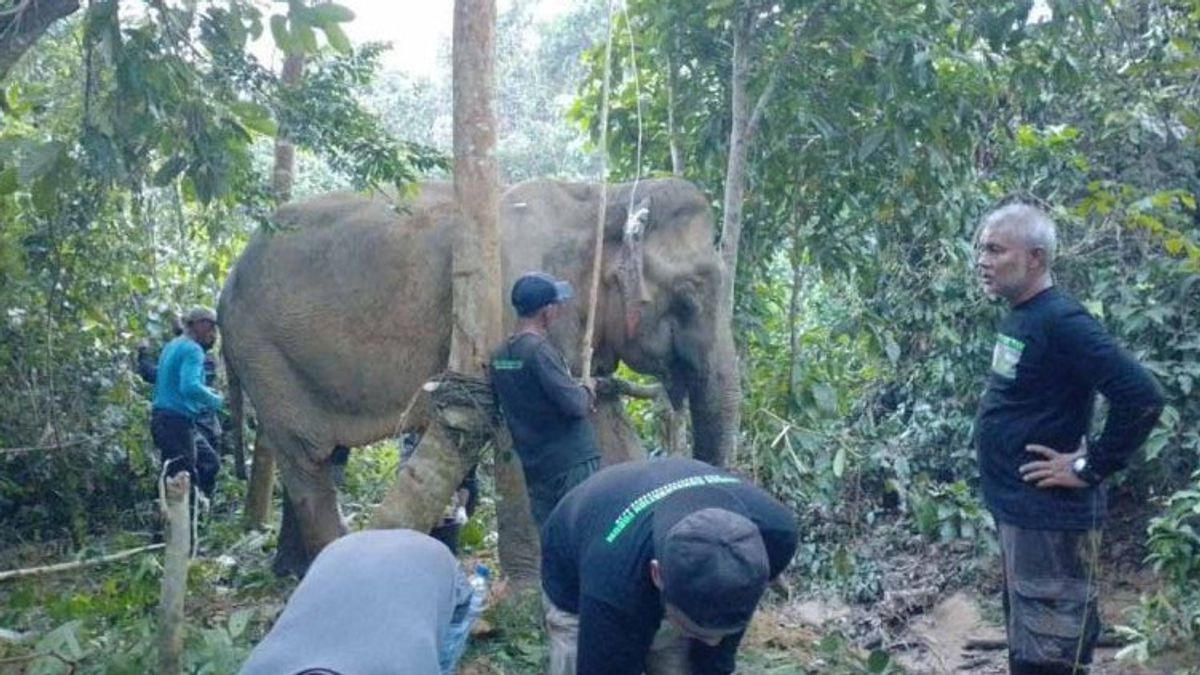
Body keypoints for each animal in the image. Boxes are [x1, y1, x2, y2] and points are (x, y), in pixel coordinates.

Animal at [218, 176, 739, 569]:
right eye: (689, 297)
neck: (601, 198)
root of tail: (226, 285)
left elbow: (604, 426)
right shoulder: (509, 303)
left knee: (321, 456)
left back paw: (289, 572)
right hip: (263, 352)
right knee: (306, 457)